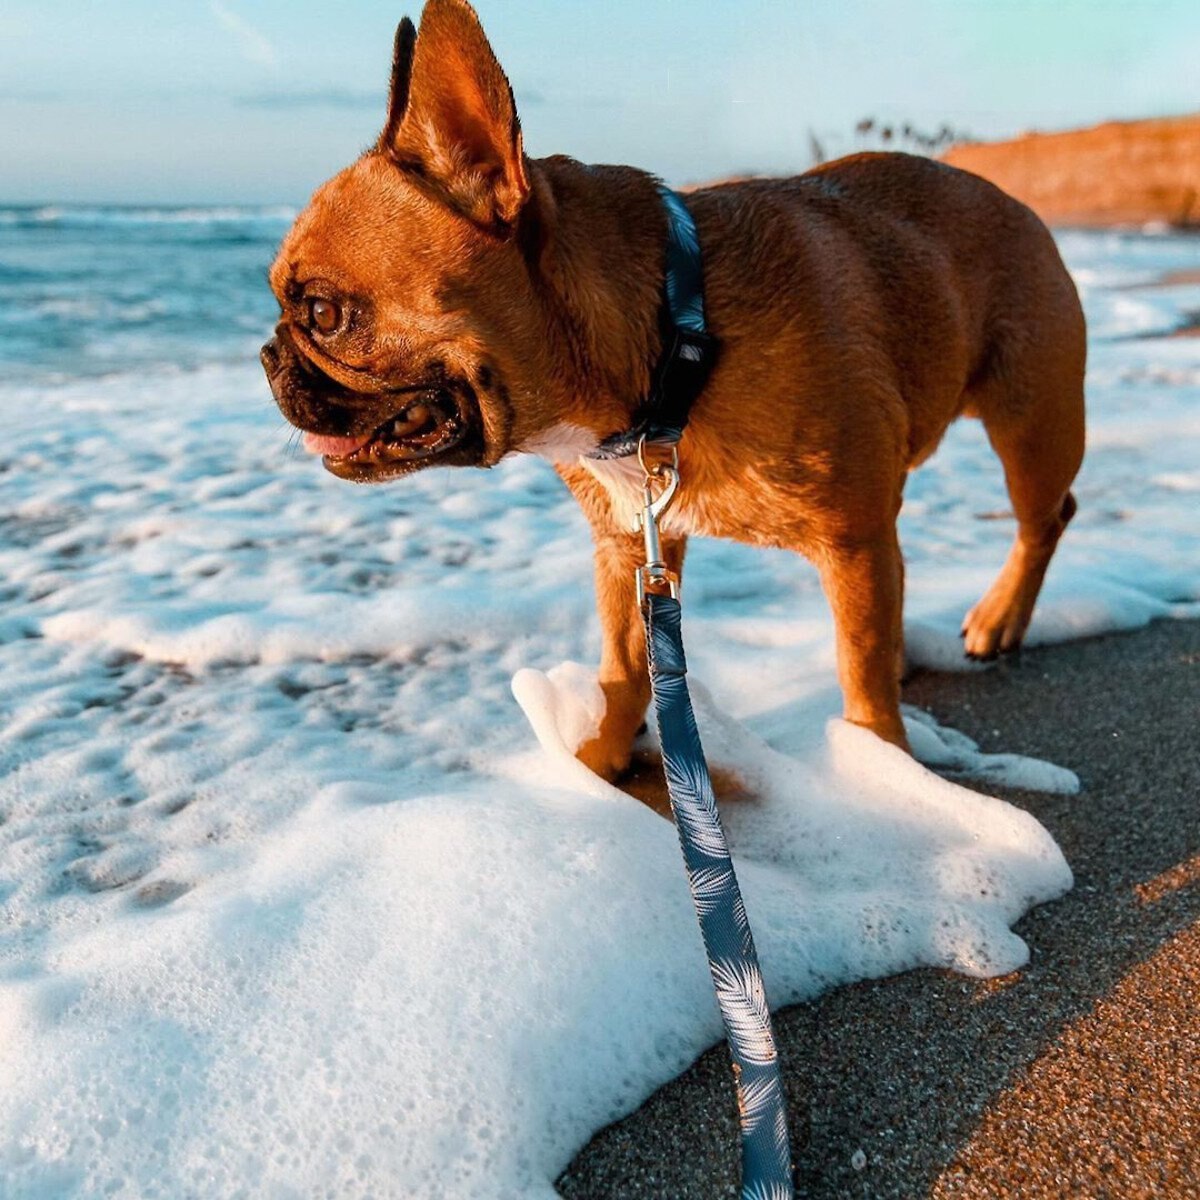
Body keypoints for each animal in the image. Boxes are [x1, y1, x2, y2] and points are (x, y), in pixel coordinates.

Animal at [262, 0, 1089, 782]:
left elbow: (857, 669)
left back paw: (1000, 616)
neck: (673, 343)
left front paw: (880, 760)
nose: (267, 355)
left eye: (323, 314)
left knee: (1044, 517)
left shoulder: (850, 542)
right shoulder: (631, 544)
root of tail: (1015, 202)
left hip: (1032, 425)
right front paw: (597, 756)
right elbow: (625, 662)